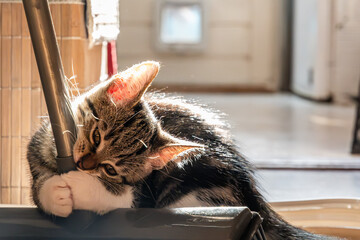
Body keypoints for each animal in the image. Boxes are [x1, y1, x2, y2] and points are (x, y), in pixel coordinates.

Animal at [27, 61, 334, 239]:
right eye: (96, 135)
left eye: (111, 169)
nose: (83, 165)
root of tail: (258, 206)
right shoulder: (37, 149)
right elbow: (38, 187)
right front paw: (56, 194)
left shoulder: (142, 194)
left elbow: (115, 197)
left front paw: (75, 186)